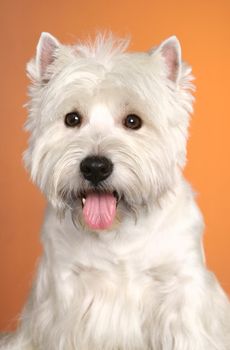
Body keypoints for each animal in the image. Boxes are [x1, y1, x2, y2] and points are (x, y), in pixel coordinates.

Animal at [0, 31, 229, 348]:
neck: (118, 232)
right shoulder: (65, 292)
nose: (95, 167)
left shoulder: (181, 288)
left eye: (133, 121)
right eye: (72, 118)